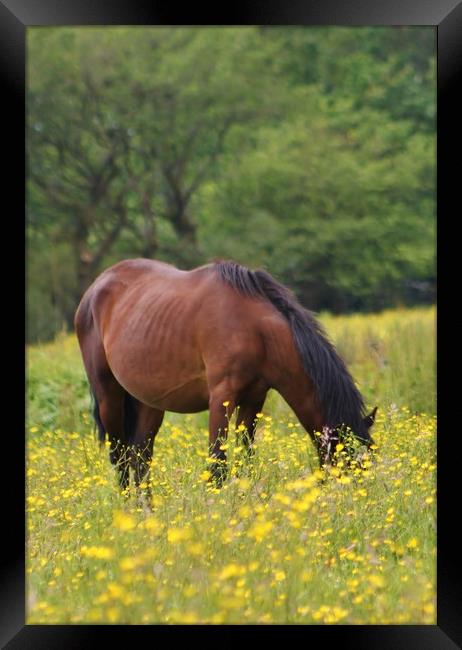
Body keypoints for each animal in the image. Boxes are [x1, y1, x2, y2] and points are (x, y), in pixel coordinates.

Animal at [74, 256, 378, 494]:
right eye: (349, 460)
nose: (354, 503)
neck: (255, 330)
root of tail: (96, 287)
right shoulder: (221, 397)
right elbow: (217, 465)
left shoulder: (254, 399)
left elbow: (245, 461)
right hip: (109, 396)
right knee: (120, 457)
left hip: (149, 402)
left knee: (140, 456)